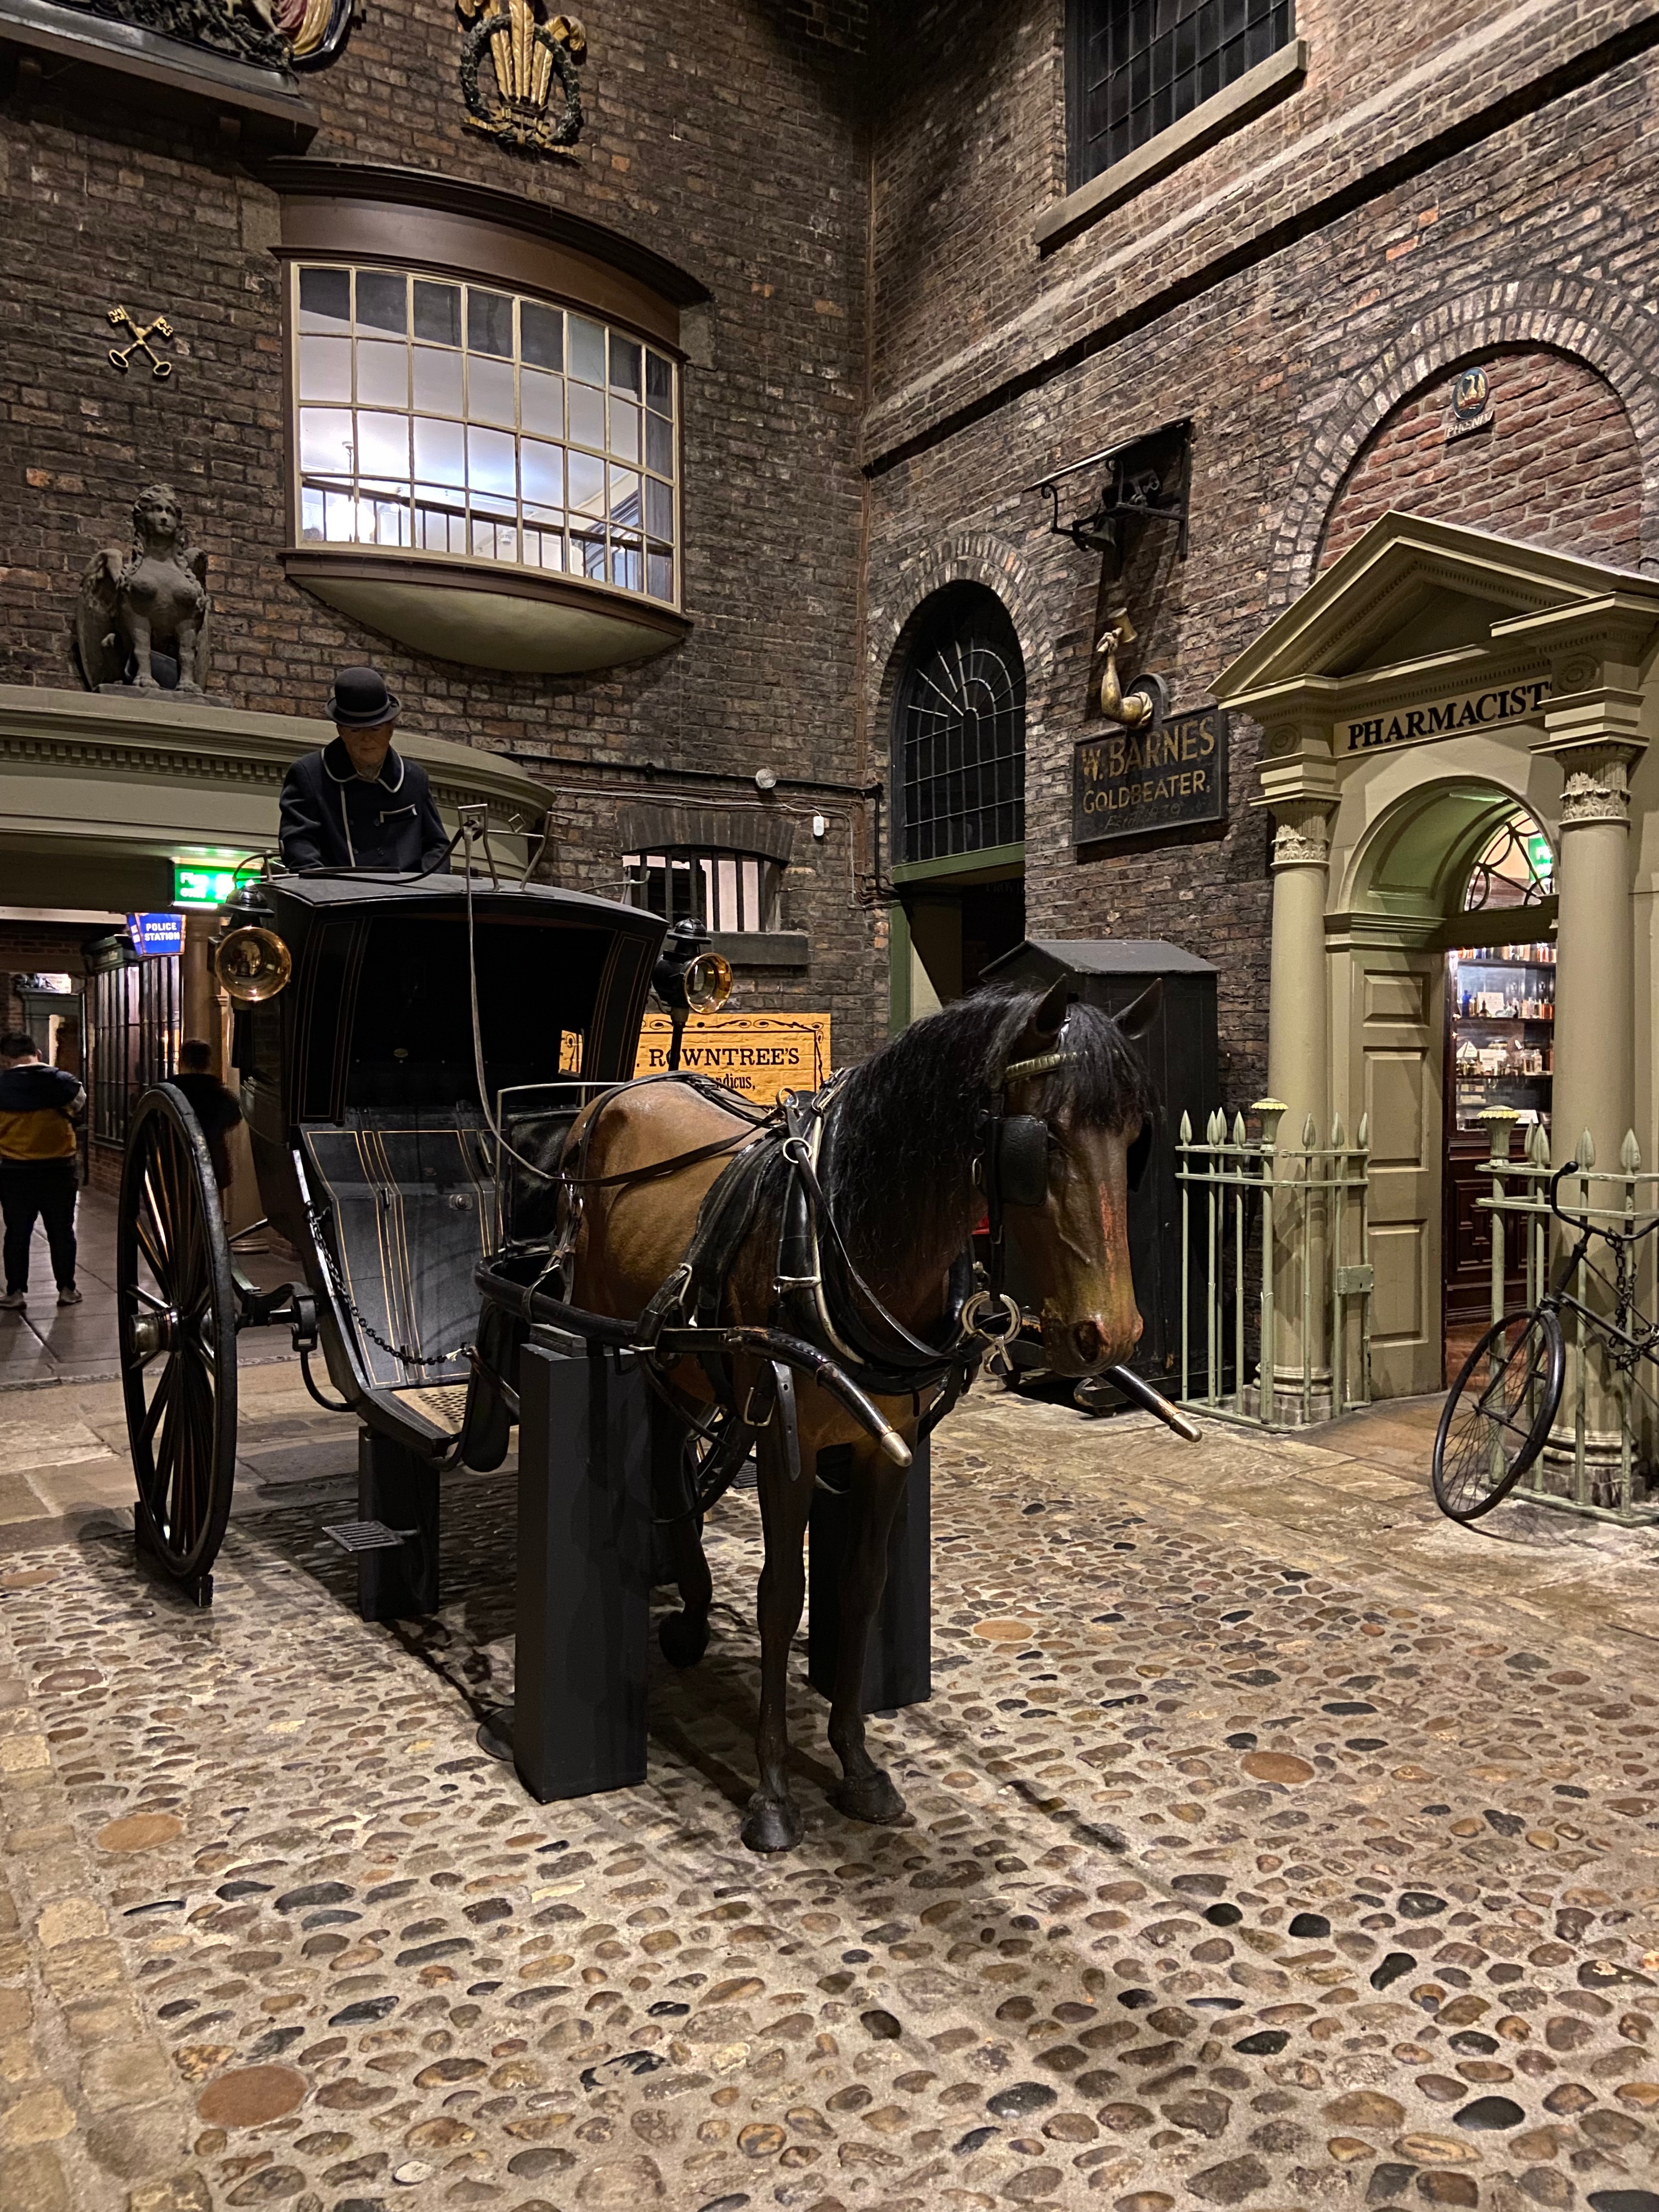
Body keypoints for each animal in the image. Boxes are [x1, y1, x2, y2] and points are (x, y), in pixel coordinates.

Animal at [563, 975, 1158, 1852]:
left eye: (1133, 1138)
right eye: (1039, 1143)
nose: (1109, 1334)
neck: (844, 1237)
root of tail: (625, 1088)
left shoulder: (887, 1446)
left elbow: (860, 1587)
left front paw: (856, 1763)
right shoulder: (785, 1444)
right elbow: (783, 1596)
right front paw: (773, 1792)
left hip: (678, 1358)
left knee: (675, 1461)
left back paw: (693, 1613)